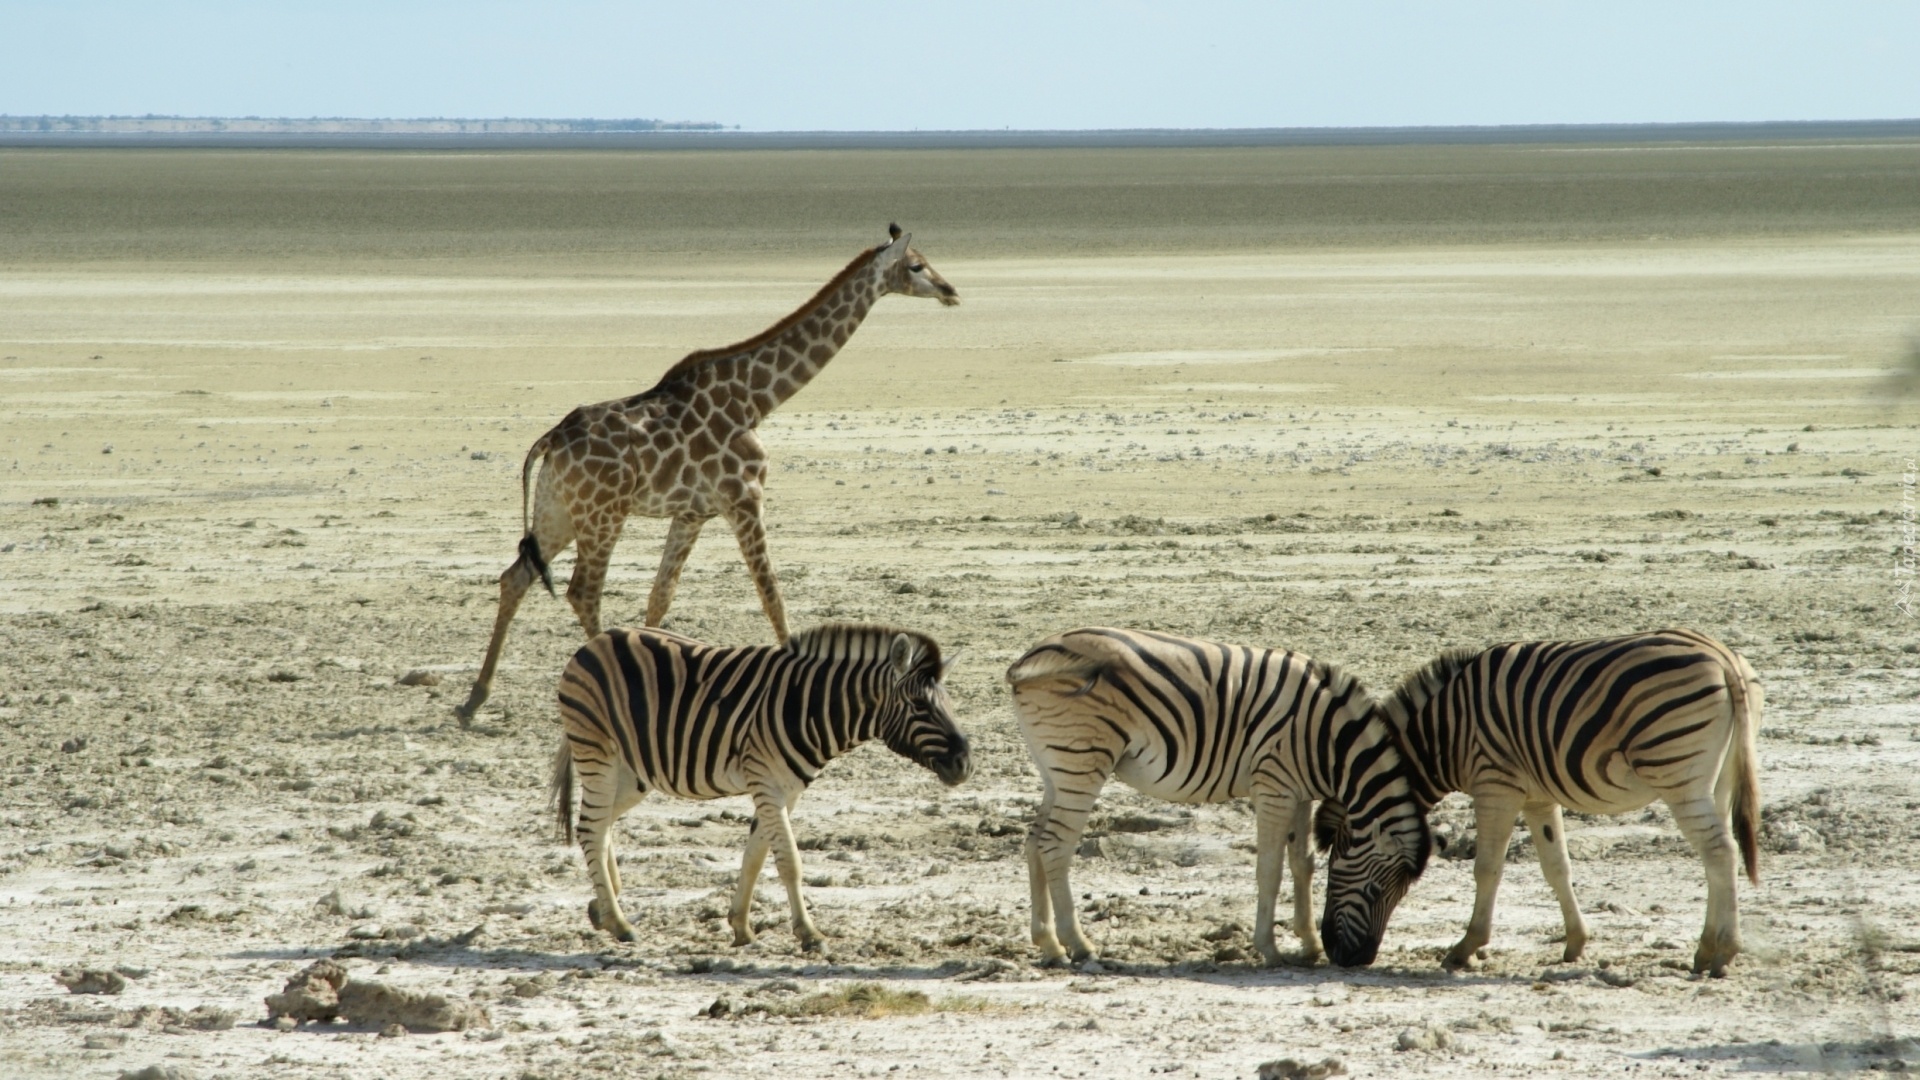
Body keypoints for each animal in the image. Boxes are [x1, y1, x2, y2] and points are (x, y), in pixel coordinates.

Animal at [451, 221, 960, 718]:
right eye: (917, 265)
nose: (951, 291)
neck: (755, 401)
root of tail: (551, 439)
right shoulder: (745, 499)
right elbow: (772, 595)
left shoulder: (693, 513)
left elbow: (661, 597)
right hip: (602, 515)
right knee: (583, 591)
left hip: (557, 510)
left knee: (516, 576)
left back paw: (476, 697)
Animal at [556, 618, 975, 945]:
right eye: (919, 706)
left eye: (951, 704)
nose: (965, 765)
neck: (809, 707)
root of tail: (596, 640)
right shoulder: (767, 784)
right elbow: (789, 861)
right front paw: (808, 933)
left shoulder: (786, 791)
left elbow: (756, 856)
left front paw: (741, 926)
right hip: (599, 751)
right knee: (591, 828)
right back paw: (619, 922)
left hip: (634, 772)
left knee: (603, 824)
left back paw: (603, 907)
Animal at [1006, 626, 1428, 960]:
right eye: (1374, 891)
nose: (1358, 960)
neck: (1327, 740)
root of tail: (1031, 655)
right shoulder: (1274, 787)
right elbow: (1271, 868)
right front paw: (1269, 948)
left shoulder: (1299, 794)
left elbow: (1302, 863)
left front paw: (1308, 944)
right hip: (1082, 761)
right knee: (1054, 847)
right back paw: (1078, 945)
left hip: (1055, 769)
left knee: (1034, 842)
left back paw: (1047, 943)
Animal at [1328, 622, 1758, 976]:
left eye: (1335, 865)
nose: (1340, 956)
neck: (1445, 733)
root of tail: (1723, 656)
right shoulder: (1538, 798)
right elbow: (1557, 868)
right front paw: (1576, 942)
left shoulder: (1495, 785)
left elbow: (1487, 869)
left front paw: (1466, 948)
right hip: (1717, 779)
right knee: (1717, 855)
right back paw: (1706, 950)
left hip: (1678, 774)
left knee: (1721, 851)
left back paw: (1724, 952)